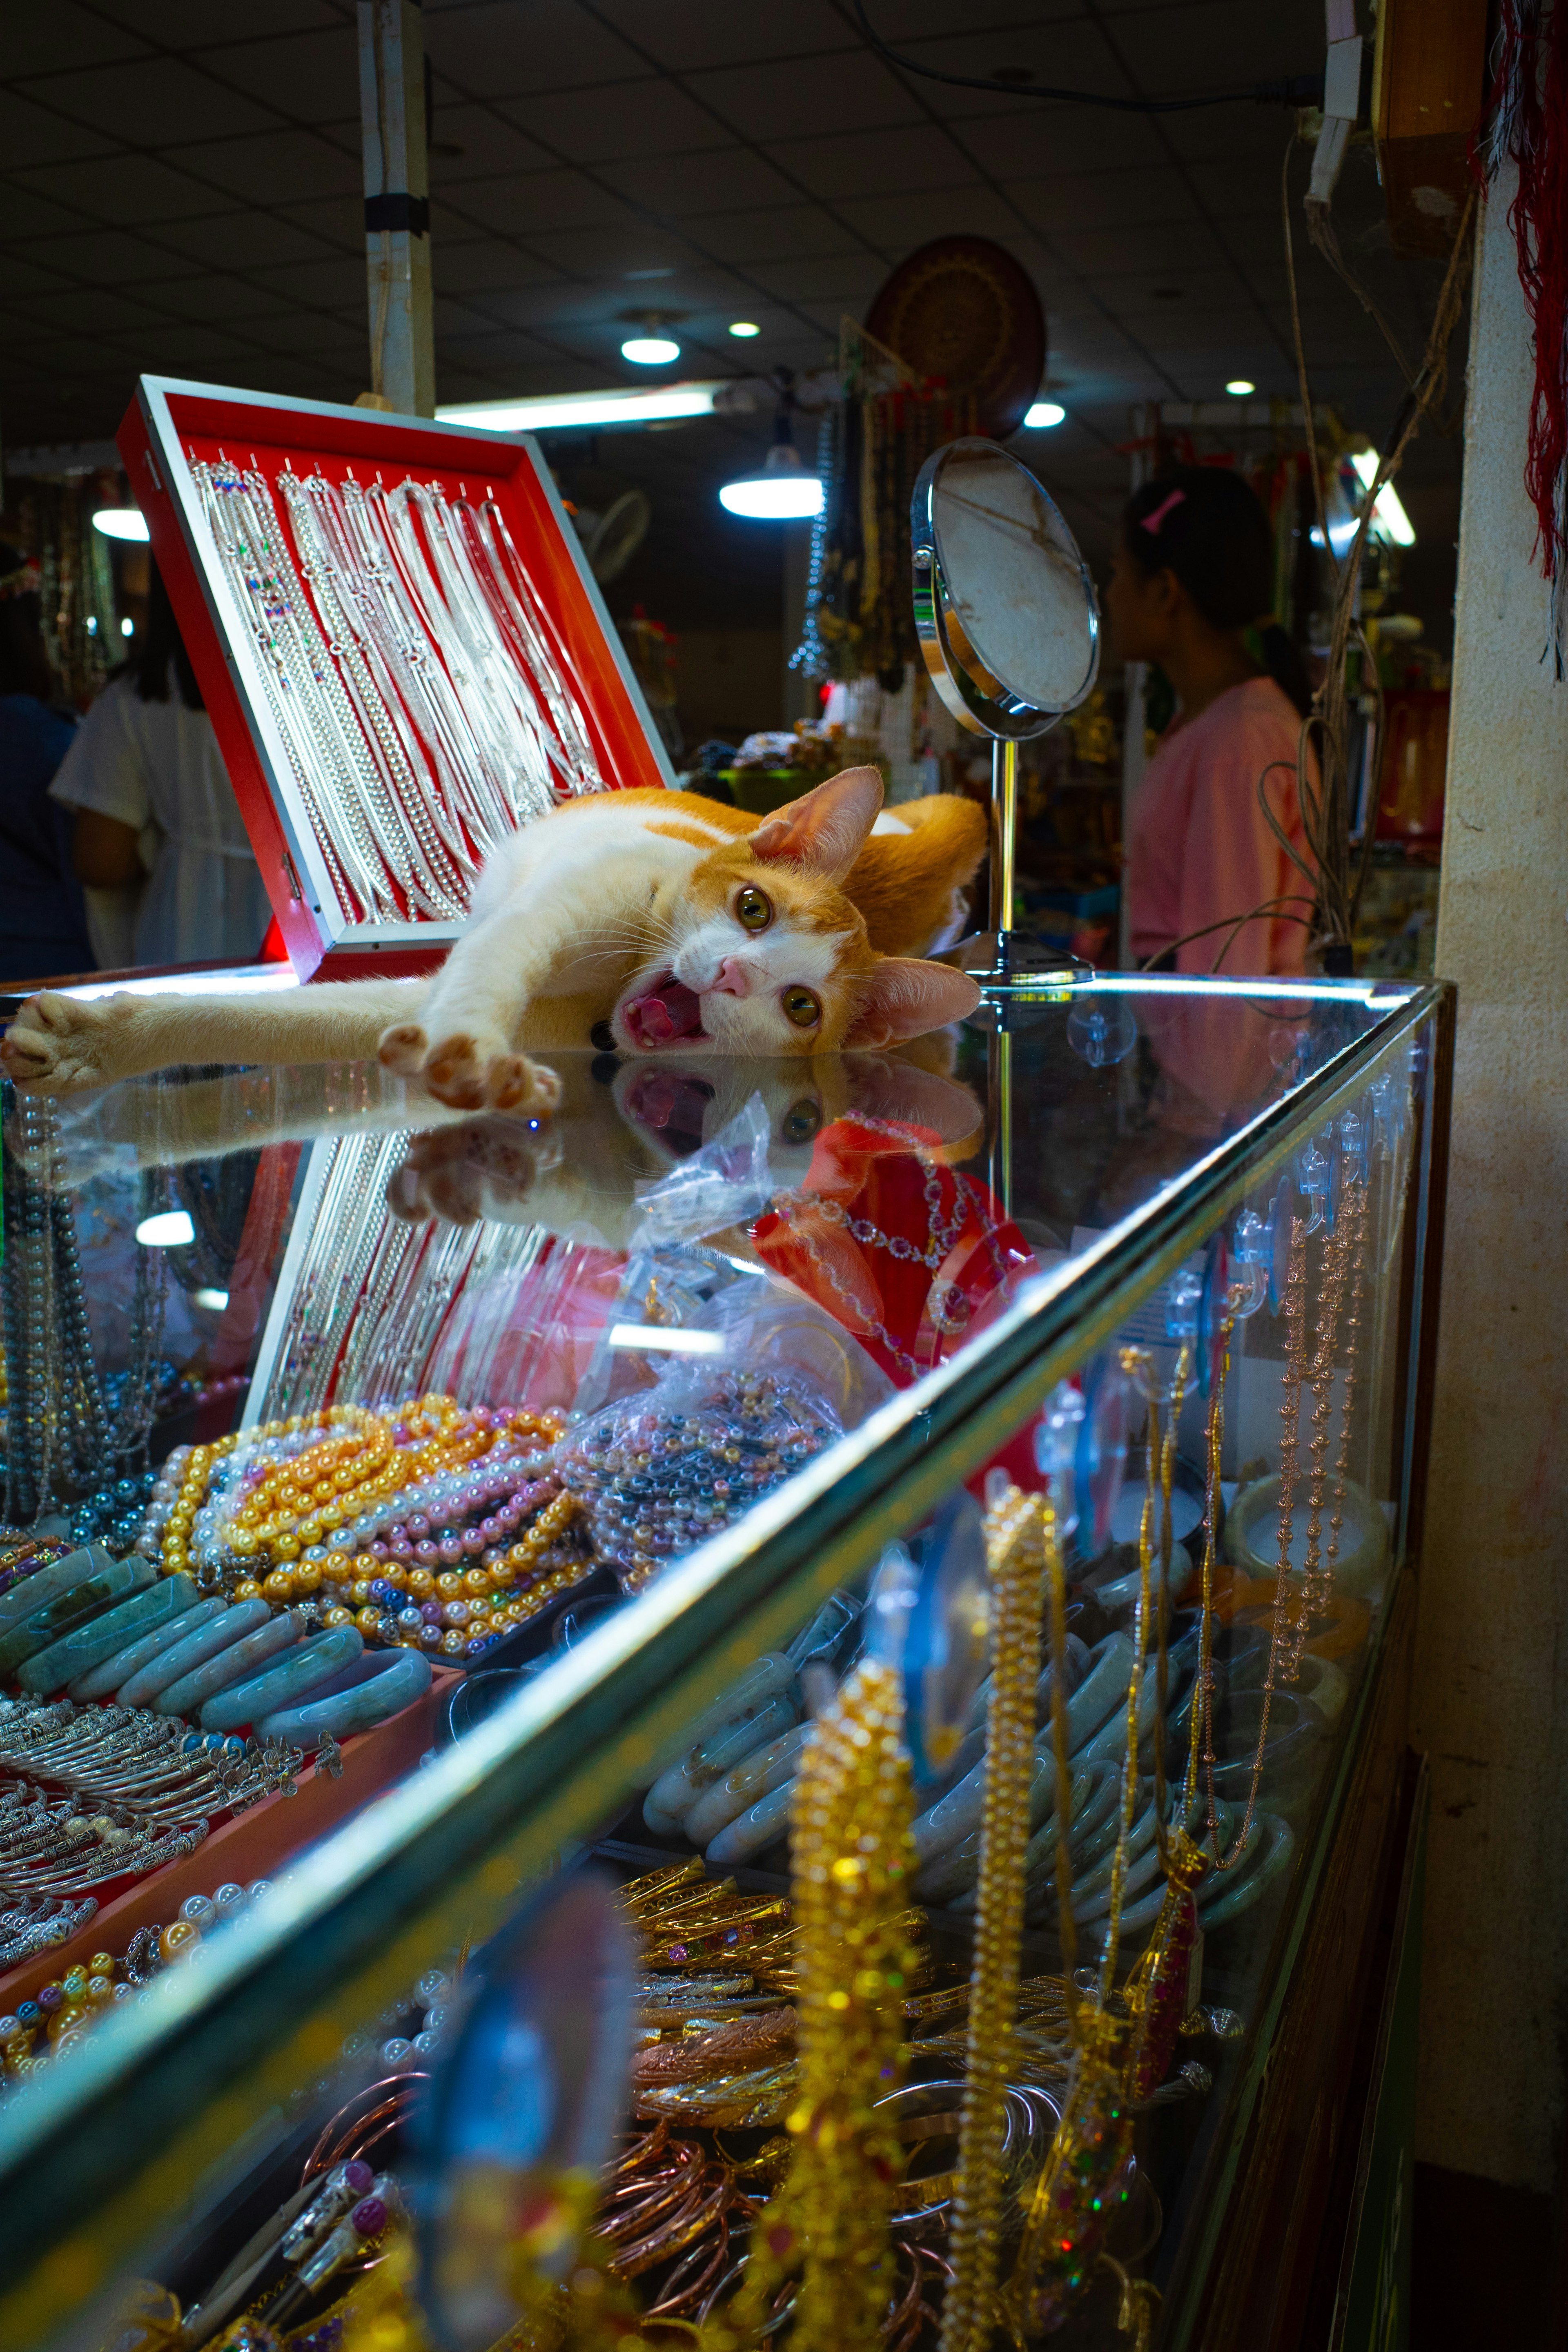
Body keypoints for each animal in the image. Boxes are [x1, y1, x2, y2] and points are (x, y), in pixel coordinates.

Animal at [0, 766, 987, 1105]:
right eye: (753, 909)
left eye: (801, 1008)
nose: (737, 979)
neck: (607, 994)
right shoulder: (561, 908)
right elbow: (485, 967)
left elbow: (300, 1024)